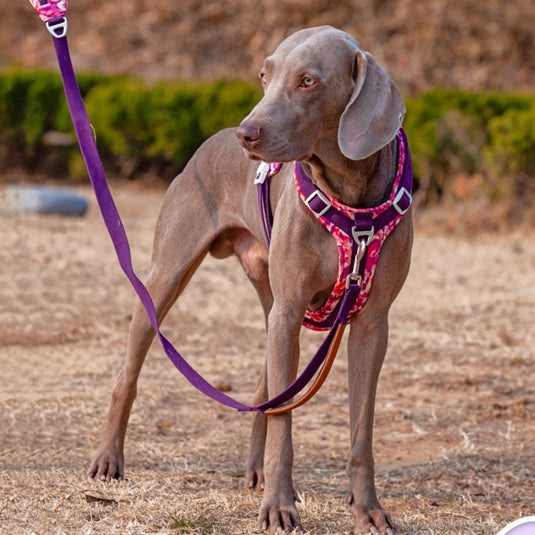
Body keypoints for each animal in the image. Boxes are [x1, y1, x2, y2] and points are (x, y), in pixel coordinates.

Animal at [88, 26, 414, 535]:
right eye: (264, 75)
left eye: (308, 81)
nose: (247, 133)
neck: (351, 197)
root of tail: (208, 142)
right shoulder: (290, 311)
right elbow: (285, 425)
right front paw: (280, 507)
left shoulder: (371, 322)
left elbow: (362, 428)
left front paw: (367, 509)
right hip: (168, 279)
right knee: (129, 373)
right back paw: (108, 460)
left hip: (271, 307)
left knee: (267, 393)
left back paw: (257, 471)